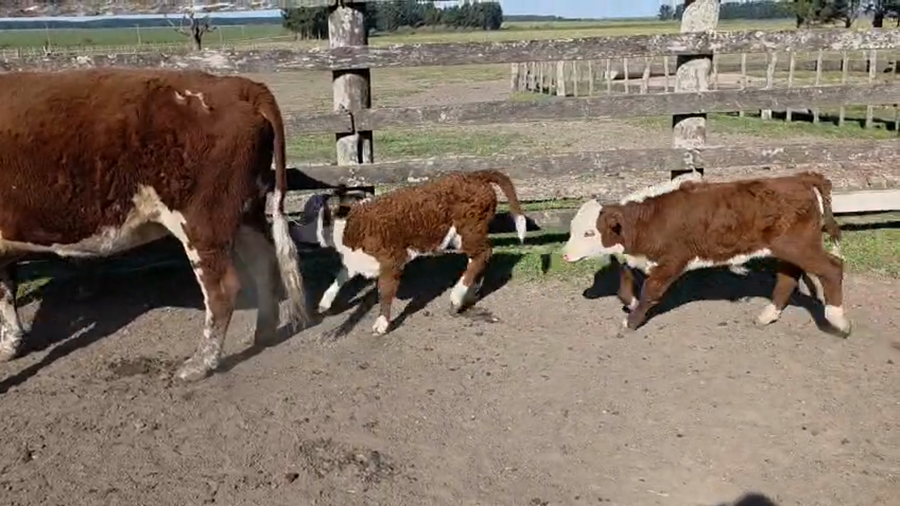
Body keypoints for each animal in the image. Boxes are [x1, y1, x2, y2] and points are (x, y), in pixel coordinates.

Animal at [0, 68, 310, 382]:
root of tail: (237, 85)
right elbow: (6, 288)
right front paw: (10, 344)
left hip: (202, 221)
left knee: (222, 289)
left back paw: (199, 365)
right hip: (245, 211)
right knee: (263, 262)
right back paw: (264, 333)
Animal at [305, 170, 528, 335]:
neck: (354, 225)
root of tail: (475, 176)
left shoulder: (392, 260)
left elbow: (385, 292)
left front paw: (381, 324)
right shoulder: (357, 260)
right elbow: (340, 277)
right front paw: (324, 303)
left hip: (470, 228)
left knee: (484, 253)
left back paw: (456, 297)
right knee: (478, 257)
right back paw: (469, 293)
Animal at [561, 171, 850, 337]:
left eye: (589, 232)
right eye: (573, 229)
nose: (564, 255)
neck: (649, 220)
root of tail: (799, 178)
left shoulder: (673, 261)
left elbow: (650, 291)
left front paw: (630, 323)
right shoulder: (639, 258)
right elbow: (624, 280)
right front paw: (629, 303)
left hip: (798, 245)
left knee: (832, 268)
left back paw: (838, 320)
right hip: (789, 249)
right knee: (788, 277)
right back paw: (768, 315)